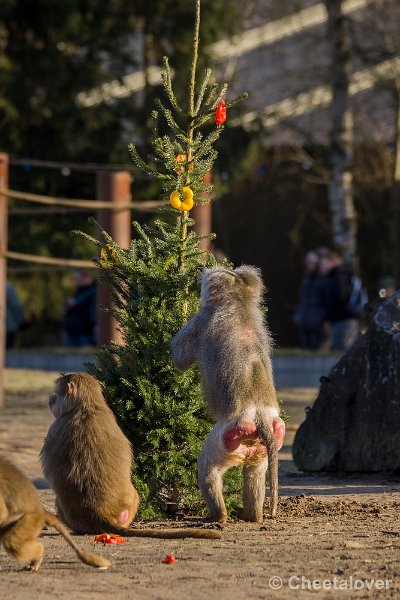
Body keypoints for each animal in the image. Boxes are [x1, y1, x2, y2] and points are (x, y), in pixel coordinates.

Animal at [40, 372, 220, 540]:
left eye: (56, 395)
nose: (50, 399)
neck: (86, 406)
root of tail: (101, 515)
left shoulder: (54, 429)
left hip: (73, 517)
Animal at [170, 264, 286, 524]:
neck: (237, 301)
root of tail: (259, 415)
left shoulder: (200, 322)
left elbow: (178, 359)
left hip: (228, 436)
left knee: (208, 470)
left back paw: (217, 516)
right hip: (267, 440)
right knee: (255, 472)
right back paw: (253, 515)